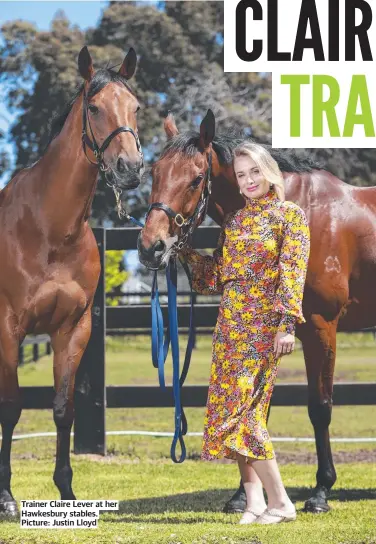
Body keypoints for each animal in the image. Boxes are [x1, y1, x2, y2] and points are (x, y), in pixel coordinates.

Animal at [0, 46, 142, 516]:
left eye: (136, 107)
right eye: (94, 108)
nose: (130, 168)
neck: (48, 228)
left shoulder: (73, 328)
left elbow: (64, 408)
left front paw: (66, 491)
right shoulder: (9, 330)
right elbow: (11, 408)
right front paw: (6, 498)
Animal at [137, 109, 376, 516]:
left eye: (196, 178)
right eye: (154, 173)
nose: (151, 247)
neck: (304, 209)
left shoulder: (321, 327)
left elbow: (320, 408)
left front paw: (321, 491)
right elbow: (252, 411)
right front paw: (241, 496)